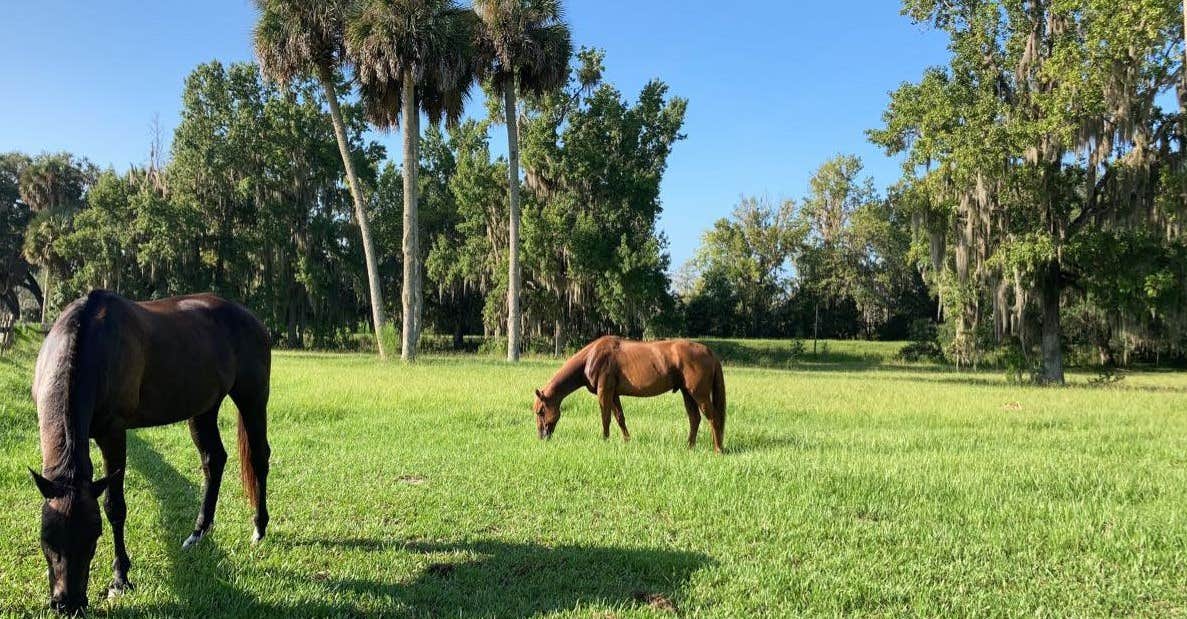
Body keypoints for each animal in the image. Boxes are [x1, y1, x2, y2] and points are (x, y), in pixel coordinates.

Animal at [28, 290, 272, 614]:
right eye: (47, 538)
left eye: (93, 538)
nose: (68, 604)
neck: (91, 342)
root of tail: (253, 319)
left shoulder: (113, 433)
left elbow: (115, 507)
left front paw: (119, 579)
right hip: (204, 409)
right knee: (214, 460)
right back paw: (198, 532)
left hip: (252, 399)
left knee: (259, 458)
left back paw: (259, 528)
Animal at [533, 336, 727, 453]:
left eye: (541, 412)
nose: (542, 437)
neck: (591, 357)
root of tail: (710, 352)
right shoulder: (613, 394)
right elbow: (619, 417)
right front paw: (627, 440)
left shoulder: (604, 391)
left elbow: (605, 417)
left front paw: (605, 440)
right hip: (687, 393)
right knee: (695, 419)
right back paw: (689, 447)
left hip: (699, 394)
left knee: (713, 418)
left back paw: (718, 449)